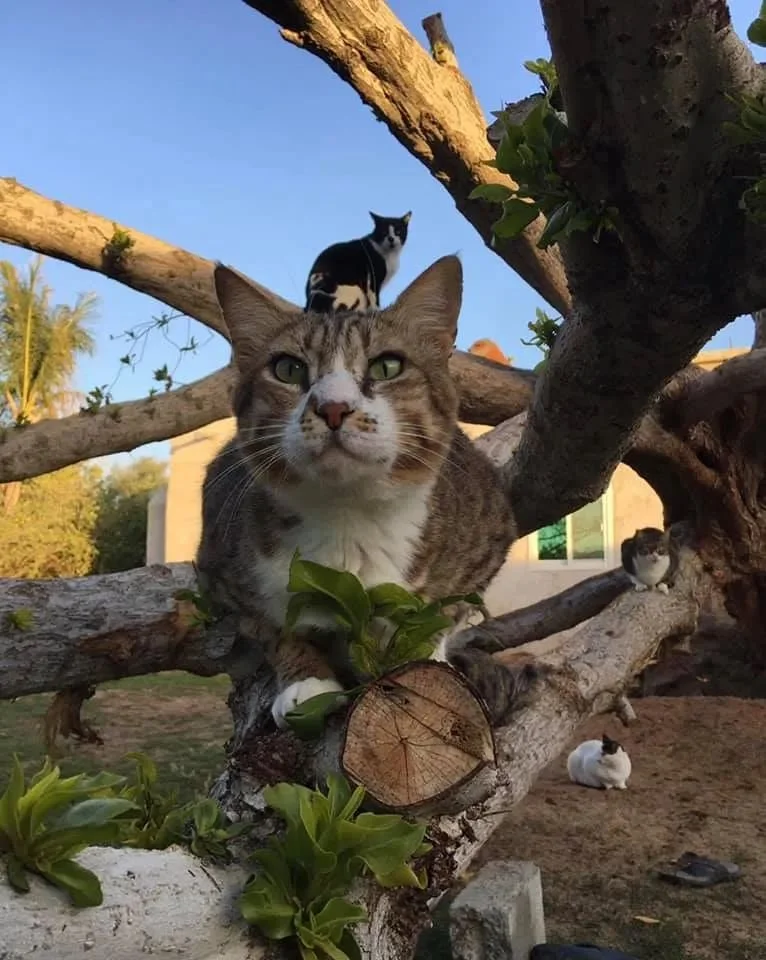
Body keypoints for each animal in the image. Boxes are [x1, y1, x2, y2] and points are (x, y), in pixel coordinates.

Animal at [197, 254, 538, 731]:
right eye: (288, 369)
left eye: (387, 366)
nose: (333, 408)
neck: (348, 515)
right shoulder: (221, 567)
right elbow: (273, 629)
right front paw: (307, 680)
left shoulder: (489, 530)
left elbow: (444, 614)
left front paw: (426, 659)